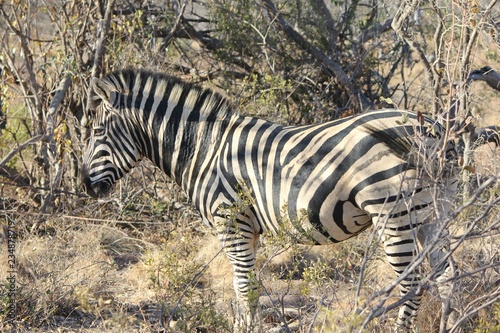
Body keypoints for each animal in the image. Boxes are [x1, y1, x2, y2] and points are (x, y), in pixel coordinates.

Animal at [81, 68, 458, 330]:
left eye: (97, 133)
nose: (85, 185)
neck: (205, 149)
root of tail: (432, 126)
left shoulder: (232, 224)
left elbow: (244, 289)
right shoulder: (250, 230)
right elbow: (245, 290)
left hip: (394, 215)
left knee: (413, 284)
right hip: (433, 213)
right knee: (447, 277)